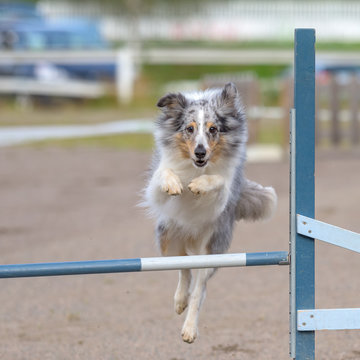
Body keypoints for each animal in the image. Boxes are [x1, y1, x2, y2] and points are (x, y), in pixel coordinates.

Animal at [142, 81, 278, 344]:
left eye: (213, 129)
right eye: (189, 129)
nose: (200, 152)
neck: (196, 167)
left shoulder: (223, 194)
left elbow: (218, 181)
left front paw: (198, 186)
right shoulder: (156, 189)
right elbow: (164, 175)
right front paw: (174, 184)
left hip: (212, 251)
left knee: (199, 289)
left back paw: (189, 329)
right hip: (167, 238)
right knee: (183, 267)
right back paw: (179, 301)